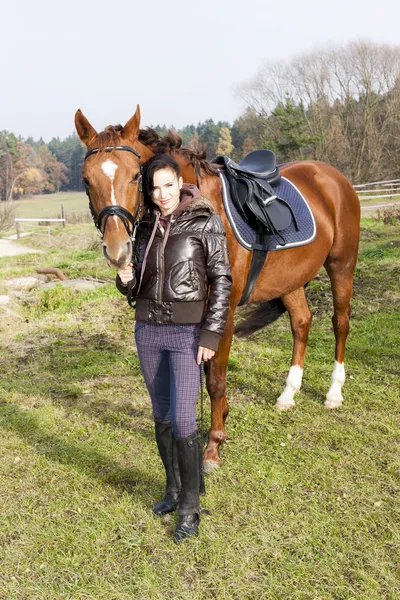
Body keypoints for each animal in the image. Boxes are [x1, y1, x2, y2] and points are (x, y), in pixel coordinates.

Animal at [74, 106, 360, 474]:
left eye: (136, 176)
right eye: (86, 179)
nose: (117, 249)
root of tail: (330, 176)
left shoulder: (222, 313)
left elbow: (214, 379)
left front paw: (213, 445)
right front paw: (219, 420)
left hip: (342, 265)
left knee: (340, 323)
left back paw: (334, 393)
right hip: (291, 280)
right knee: (301, 323)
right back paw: (288, 394)